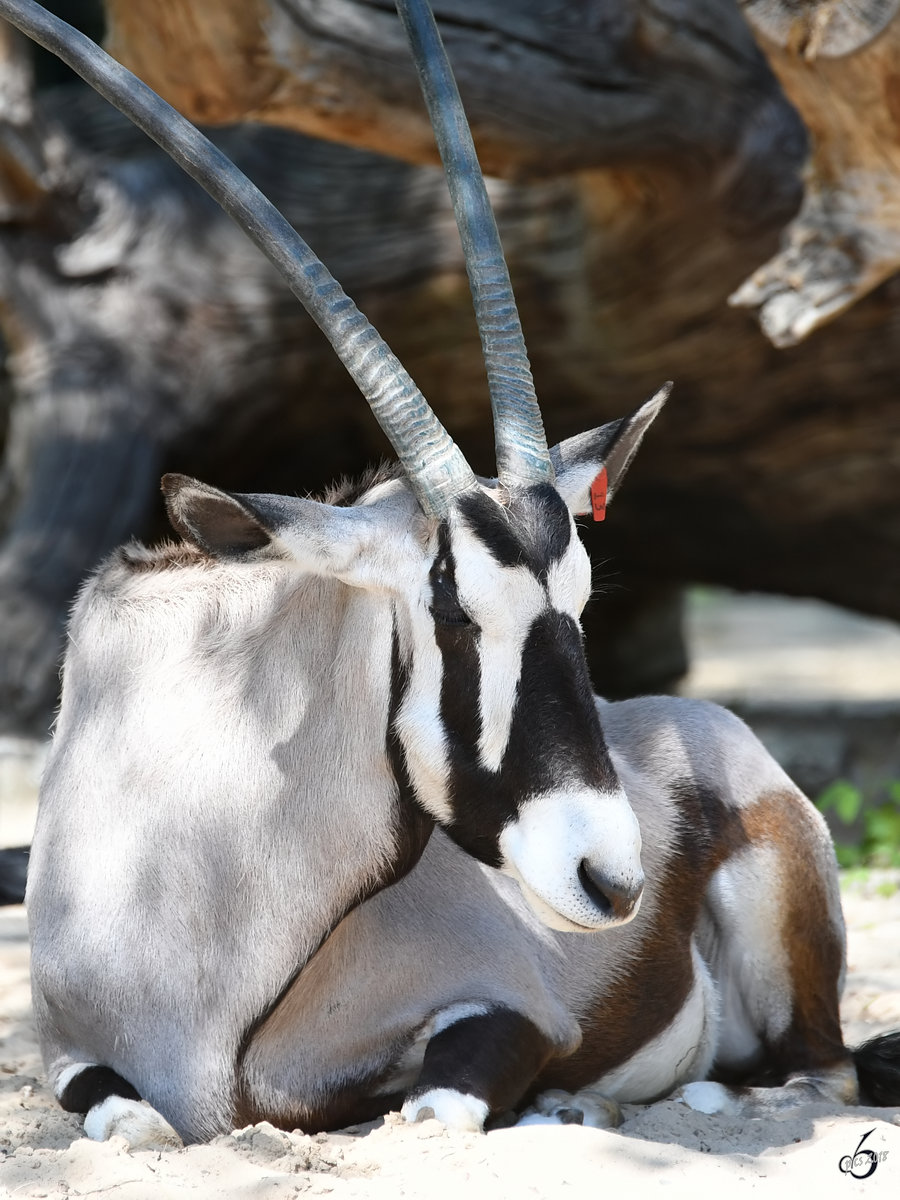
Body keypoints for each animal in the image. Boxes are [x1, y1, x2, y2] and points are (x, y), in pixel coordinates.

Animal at [8, 0, 900, 1147]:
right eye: (454, 610)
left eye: (579, 605)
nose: (614, 877)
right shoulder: (71, 1056)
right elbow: (127, 1116)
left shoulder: (509, 1011)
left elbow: (437, 1107)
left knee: (820, 1073)